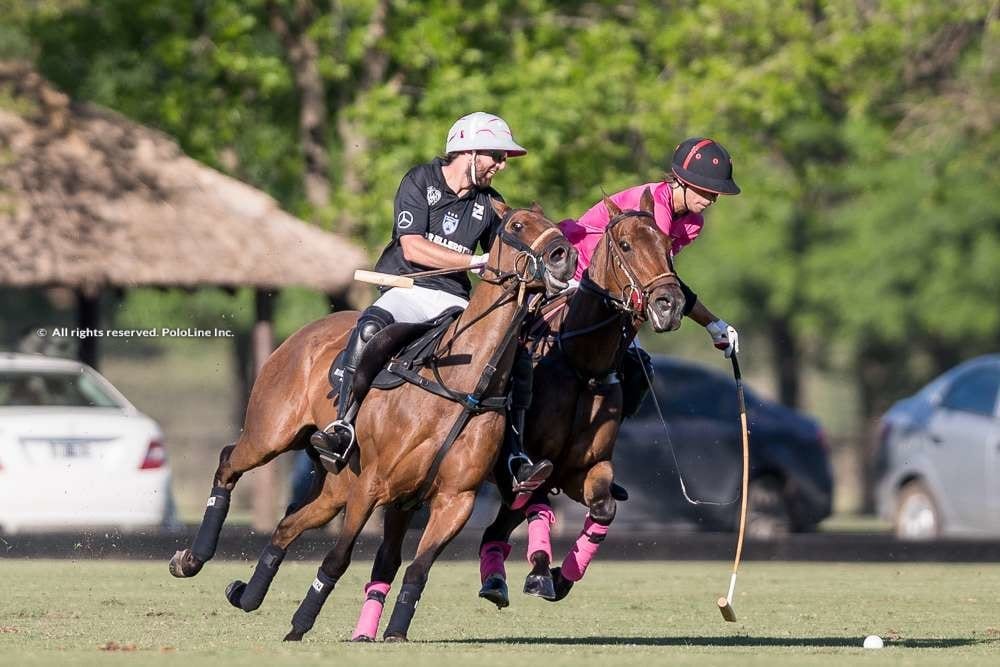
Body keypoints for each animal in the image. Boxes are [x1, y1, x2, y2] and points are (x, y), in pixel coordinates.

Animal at [164, 200, 572, 640]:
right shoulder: (371, 486)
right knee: (228, 462)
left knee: (288, 523)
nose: (564, 256)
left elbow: (417, 569)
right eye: (516, 225)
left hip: (336, 487)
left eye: (553, 224)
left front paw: (395, 631)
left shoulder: (454, 501)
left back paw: (247, 594)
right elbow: (338, 559)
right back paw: (191, 559)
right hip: (271, 435)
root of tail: (305, 332)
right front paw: (300, 625)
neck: (465, 384)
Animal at [346, 185, 688, 640]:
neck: (580, 363)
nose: (670, 304)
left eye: (668, 246)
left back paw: (495, 579)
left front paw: (560, 576)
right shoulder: (531, 464)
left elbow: (603, 509)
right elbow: (537, 504)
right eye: (627, 245)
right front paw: (541, 571)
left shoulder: (585, 467)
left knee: (491, 530)